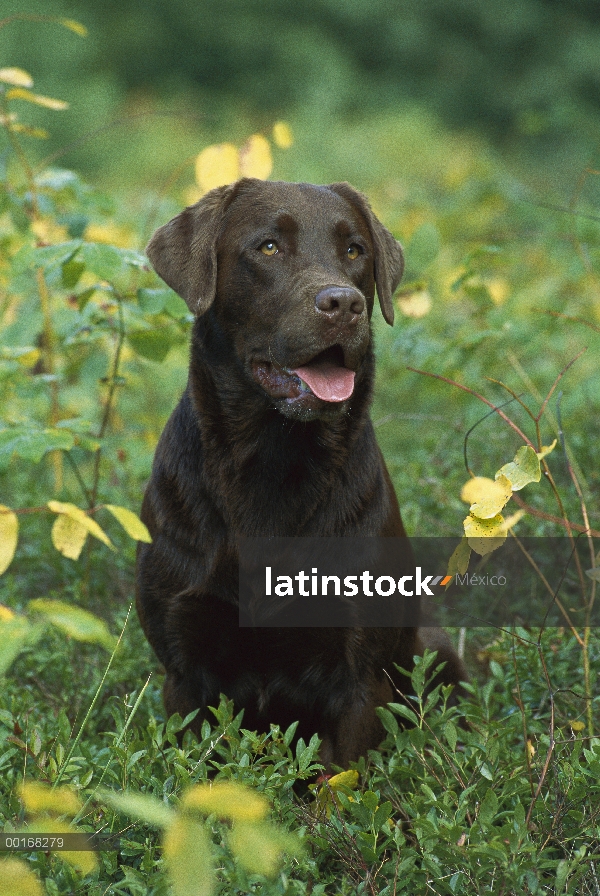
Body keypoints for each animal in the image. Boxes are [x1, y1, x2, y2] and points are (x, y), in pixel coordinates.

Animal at [136, 178, 464, 768]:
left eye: (355, 251)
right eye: (268, 247)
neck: (272, 462)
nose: (344, 303)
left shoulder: (360, 678)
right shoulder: (184, 671)